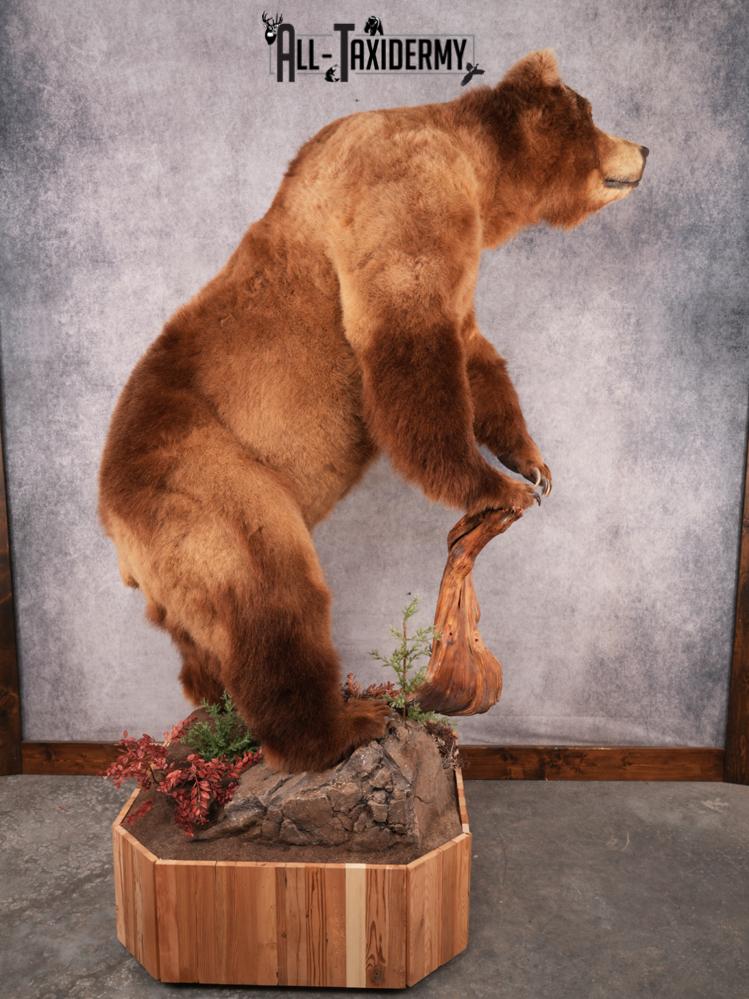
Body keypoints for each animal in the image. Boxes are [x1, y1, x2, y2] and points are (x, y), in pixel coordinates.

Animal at [98, 50, 647, 772]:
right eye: (592, 113)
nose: (643, 148)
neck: (477, 177)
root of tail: (112, 521)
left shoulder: (457, 262)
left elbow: (473, 354)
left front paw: (531, 462)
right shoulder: (402, 195)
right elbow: (408, 352)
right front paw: (493, 484)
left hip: (177, 566)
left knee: (202, 644)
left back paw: (215, 713)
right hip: (210, 489)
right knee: (276, 598)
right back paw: (340, 725)